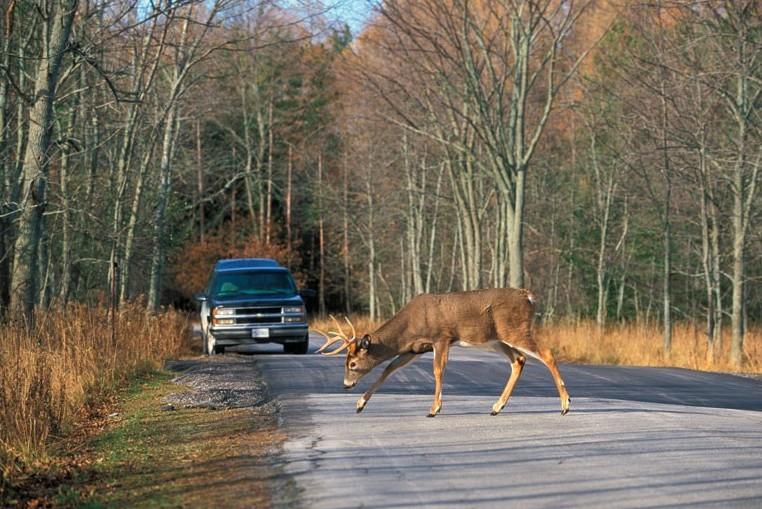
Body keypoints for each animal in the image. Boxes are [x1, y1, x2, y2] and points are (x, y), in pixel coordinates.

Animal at [312, 288, 568, 414]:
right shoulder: (414, 349)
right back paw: (497, 407)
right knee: (519, 360)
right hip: (496, 339)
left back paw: (565, 405)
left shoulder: (441, 338)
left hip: (514, 329)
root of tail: (529, 297)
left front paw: (434, 408)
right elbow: (389, 368)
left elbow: (438, 370)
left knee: (547, 353)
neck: (411, 325)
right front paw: (360, 404)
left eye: (352, 364)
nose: (346, 384)